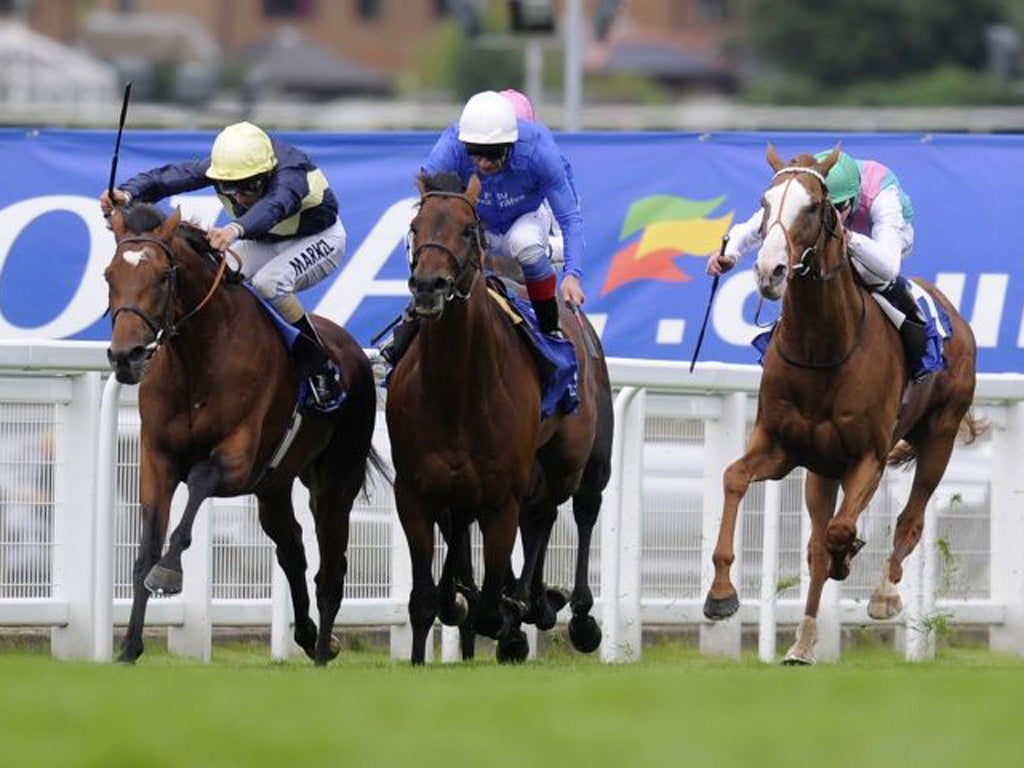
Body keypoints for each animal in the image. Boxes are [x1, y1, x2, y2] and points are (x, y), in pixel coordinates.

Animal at [105, 204, 382, 667]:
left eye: (162, 276)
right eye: (109, 275)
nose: (126, 357)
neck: (198, 359)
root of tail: (357, 353)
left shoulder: (238, 460)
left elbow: (199, 480)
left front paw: (170, 571)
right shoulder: (158, 459)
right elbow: (145, 550)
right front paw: (128, 648)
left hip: (335, 481)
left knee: (331, 566)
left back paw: (323, 649)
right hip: (274, 487)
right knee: (292, 547)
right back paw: (309, 636)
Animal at [385, 171, 610, 663]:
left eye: (468, 229)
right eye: (415, 228)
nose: (428, 285)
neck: (457, 390)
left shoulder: (501, 493)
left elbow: (488, 607)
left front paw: (509, 613)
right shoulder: (415, 489)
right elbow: (425, 599)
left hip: (580, 462)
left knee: (576, 510)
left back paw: (571, 614)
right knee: (536, 516)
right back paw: (531, 601)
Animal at [704, 147, 983, 663]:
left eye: (814, 207)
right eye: (763, 202)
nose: (770, 271)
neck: (821, 348)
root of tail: (951, 311)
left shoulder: (868, 455)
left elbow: (840, 531)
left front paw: (849, 553)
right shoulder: (781, 448)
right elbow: (735, 478)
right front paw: (720, 593)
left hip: (939, 436)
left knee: (909, 520)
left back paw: (884, 593)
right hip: (821, 470)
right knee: (817, 546)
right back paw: (802, 642)